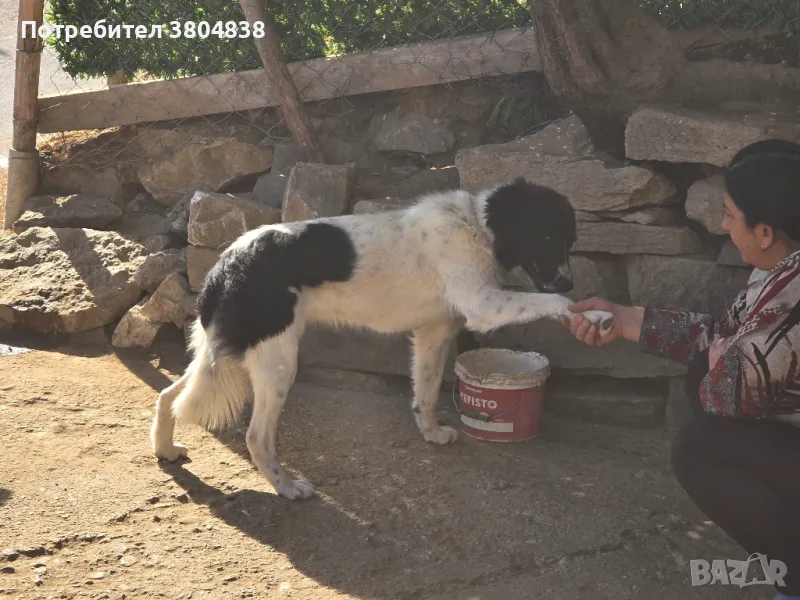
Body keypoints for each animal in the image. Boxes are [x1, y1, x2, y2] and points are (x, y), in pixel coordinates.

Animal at [150, 176, 612, 500]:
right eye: (547, 236)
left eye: (569, 240)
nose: (569, 280)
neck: (478, 226)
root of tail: (226, 262)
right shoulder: (483, 305)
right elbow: (550, 302)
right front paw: (593, 313)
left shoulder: (433, 332)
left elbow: (425, 394)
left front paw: (430, 434)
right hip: (276, 360)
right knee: (255, 436)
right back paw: (288, 488)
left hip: (224, 353)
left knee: (169, 395)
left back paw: (166, 450)